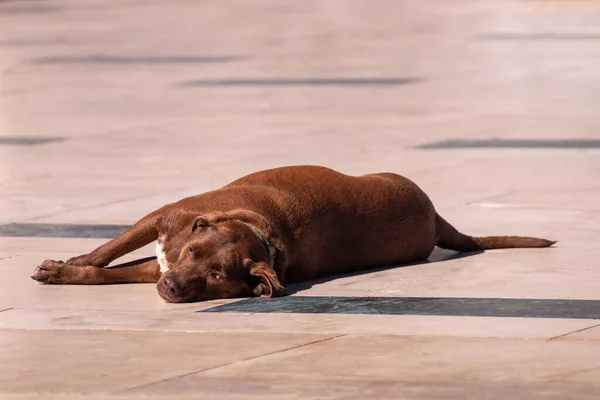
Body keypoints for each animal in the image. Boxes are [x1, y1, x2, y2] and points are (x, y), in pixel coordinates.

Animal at [31, 164, 552, 302]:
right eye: (193, 252)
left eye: (217, 277)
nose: (174, 288)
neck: (259, 230)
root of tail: (438, 217)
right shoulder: (163, 222)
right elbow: (107, 254)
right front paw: (70, 268)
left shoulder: (162, 247)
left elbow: (112, 265)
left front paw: (65, 270)